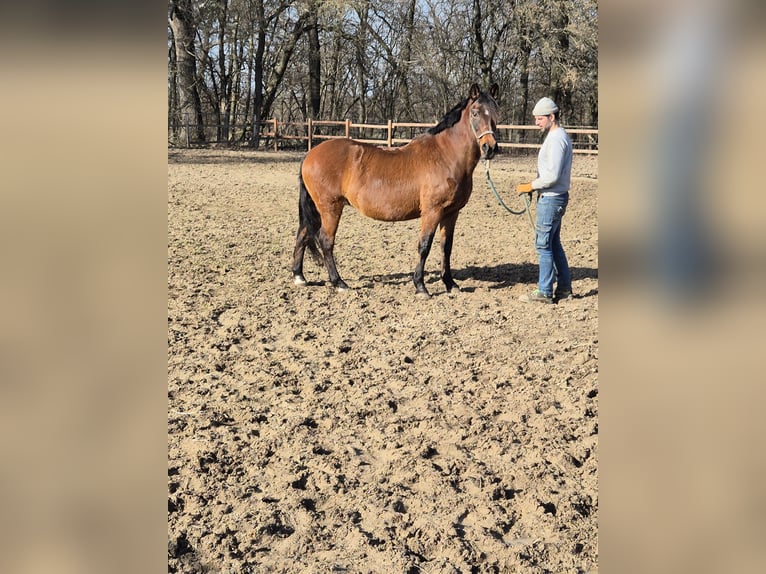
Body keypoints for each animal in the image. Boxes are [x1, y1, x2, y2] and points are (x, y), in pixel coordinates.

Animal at [292, 82, 500, 297]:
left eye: (496, 112)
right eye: (475, 113)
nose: (490, 148)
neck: (445, 155)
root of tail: (310, 154)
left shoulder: (452, 213)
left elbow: (446, 248)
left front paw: (450, 284)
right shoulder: (432, 211)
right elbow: (424, 246)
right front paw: (420, 286)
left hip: (318, 209)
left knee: (303, 234)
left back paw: (299, 277)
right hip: (330, 208)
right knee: (325, 240)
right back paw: (338, 282)